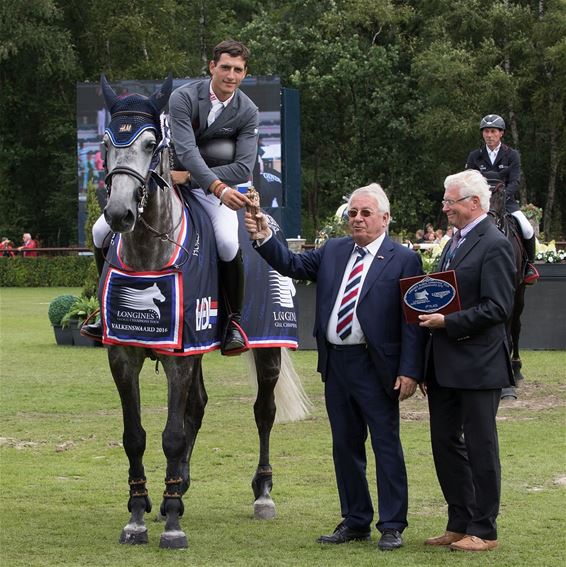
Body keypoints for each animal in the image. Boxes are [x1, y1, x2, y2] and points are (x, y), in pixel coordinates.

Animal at [97, 76, 310, 552]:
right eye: (106, 142)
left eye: (151, 143)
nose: (119, 213)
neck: (149, 253)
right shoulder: (125, 354)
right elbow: (135, 436)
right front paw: (138, 514)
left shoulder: (180, 357)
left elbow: (172, 436)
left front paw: (174, 525)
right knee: (198, 406)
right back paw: (175, 491)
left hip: (267, 347)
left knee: (263, 411)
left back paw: (262, 493)